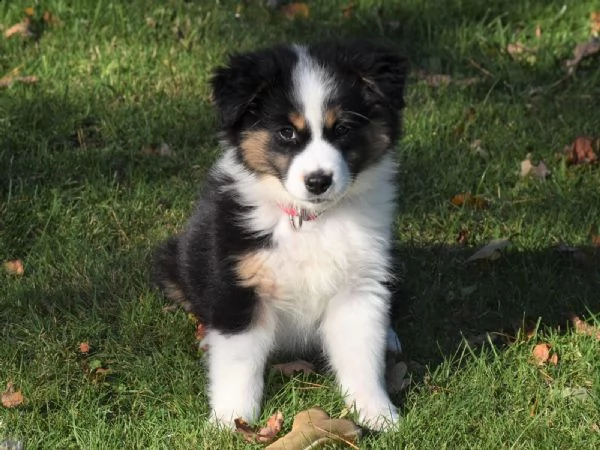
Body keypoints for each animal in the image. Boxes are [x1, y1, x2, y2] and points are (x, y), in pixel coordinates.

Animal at [152, 40, 410, 430]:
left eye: (343, 128)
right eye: (287, 133)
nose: (318, 181)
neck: (310, 220)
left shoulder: (358, 289)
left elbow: (362, 357)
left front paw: (378, 414)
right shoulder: (237, 286)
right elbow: (238, 365)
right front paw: (230, 421)